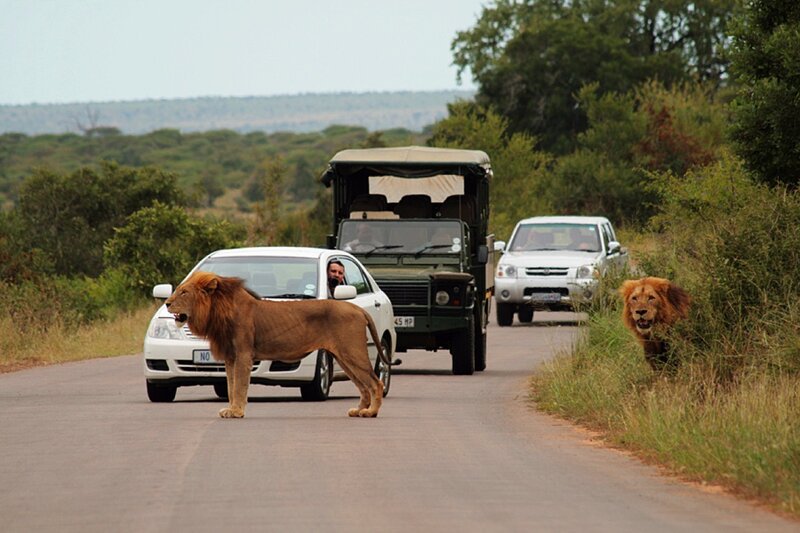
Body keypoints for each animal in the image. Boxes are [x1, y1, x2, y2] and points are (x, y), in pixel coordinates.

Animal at [165, 271, 391, 418]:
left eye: (184, 292)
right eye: (178, 290)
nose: (166, 303)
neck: (218, 310)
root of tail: (357, 308)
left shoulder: (244, 355)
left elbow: (239, 386)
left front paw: (237, 412)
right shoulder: (230, 357)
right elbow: (230, 385)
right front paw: (231, 409)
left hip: (352, 352)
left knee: (375, 383)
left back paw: (371, 412)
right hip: (344, 357)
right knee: (363, 386)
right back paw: (359, 410)